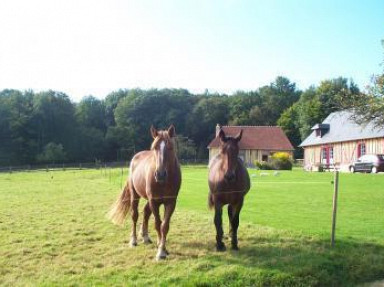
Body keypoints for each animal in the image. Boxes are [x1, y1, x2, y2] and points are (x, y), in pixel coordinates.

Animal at [107, 125, 181, 260]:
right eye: (154, 147)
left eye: (170, 147)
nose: (160, 174)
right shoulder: (154, 201)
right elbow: (158, 224)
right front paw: (160, 251)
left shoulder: (171, 202)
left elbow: (164, 226)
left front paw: (162, 248)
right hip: (135, 196)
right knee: (135, 215)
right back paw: (134, 240)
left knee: (146, 212)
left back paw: (145, 237)